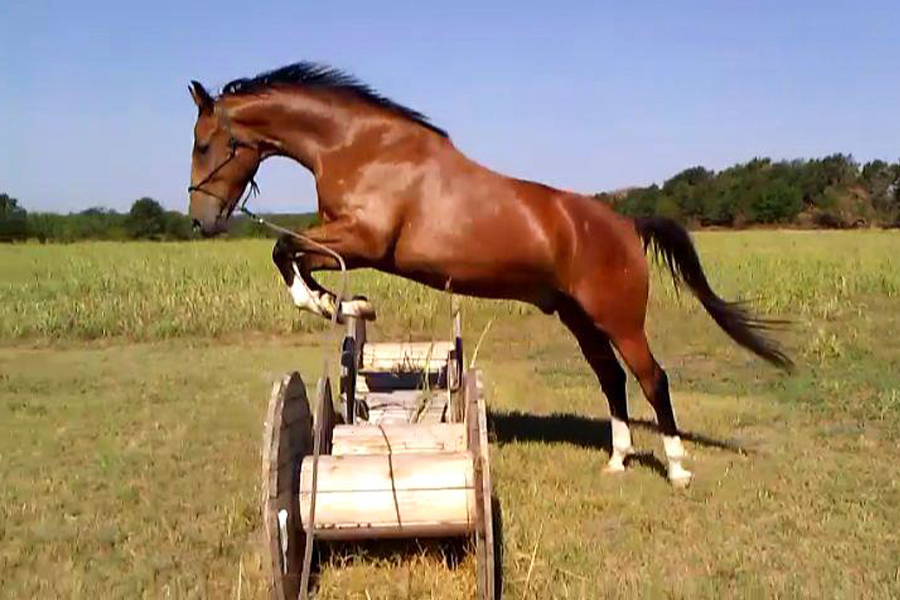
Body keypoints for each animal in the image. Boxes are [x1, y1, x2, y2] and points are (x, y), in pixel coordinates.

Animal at [186, 62, 792, 488]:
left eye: (204, 143)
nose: (201, 219)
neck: (362, 147)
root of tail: (625, 223)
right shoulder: (348, 242)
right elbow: (289, 253)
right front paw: (348, 305)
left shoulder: (363, 241)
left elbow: (283, 248)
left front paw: (342, 305)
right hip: (578, 317)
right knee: (612, 379)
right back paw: (618, 460)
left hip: (619, 318)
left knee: (652, 379)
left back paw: (678, 468)